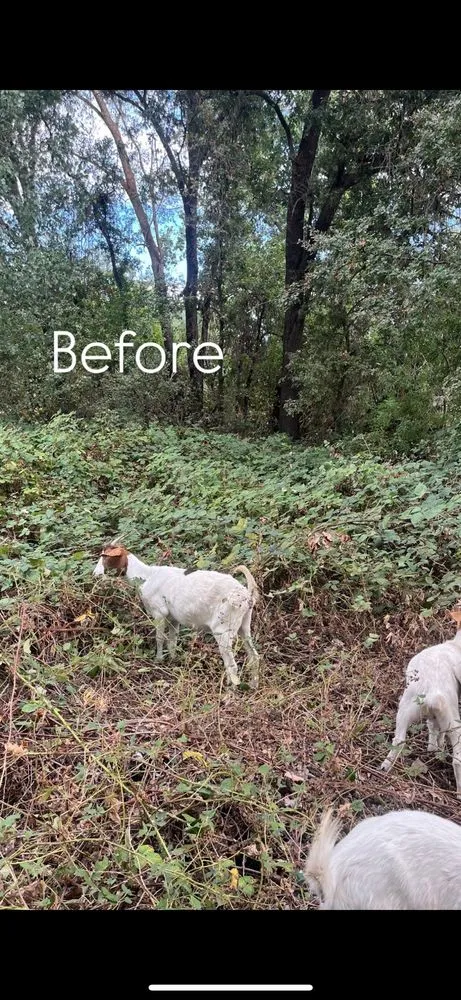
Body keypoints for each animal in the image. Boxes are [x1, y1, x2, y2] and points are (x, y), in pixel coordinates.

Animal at [93, 544, 260, 689]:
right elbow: (172, 641)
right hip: (244, 626)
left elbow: (160, 638)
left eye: (104, 556)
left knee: (232, 665)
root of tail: (247, 594)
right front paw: (172, 660)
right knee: (254, 656)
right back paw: (253, 684)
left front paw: (158, 660)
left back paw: (230, 690)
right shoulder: (173, 619)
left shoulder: (159, 612)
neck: (147, 576)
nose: (95, 574)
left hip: (223, 629)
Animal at [381, 606, 461, 797]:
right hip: (453, 719)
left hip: (404, 711)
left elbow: (435, 732)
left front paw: (435, 748)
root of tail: (431, 691)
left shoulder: (434, 718)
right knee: (457, 760)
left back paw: (386, 767)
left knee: (398, 740)